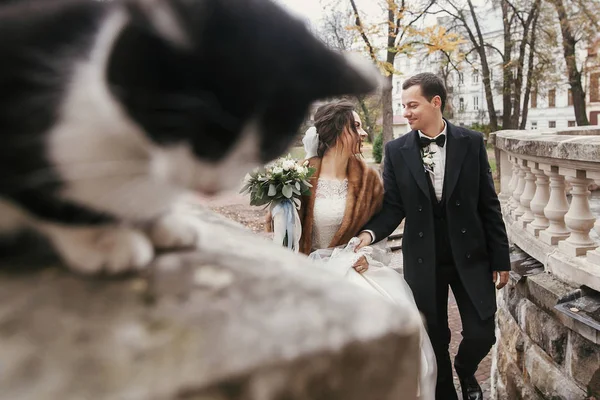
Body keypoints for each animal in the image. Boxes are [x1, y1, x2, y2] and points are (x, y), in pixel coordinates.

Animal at [0, 0, 376, 274]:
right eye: (200, 129)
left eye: (269, 145)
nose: (209, 188)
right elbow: (47, 192)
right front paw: (103, 238)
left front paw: (160, 224)